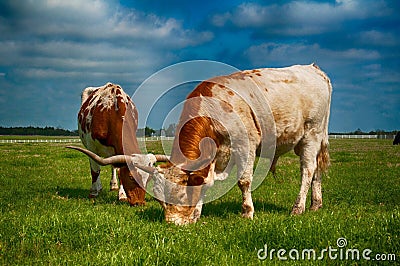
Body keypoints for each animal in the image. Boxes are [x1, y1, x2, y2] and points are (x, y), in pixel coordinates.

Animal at [71, 64, 332, 224]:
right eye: (160, 198)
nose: (174, 224)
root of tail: (314, 69)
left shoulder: (245, 145)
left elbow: (244, 181)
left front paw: (247, 212)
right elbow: (206, 181)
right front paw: (198, 211)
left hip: (311, 134)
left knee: (307, 169)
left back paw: (298, 207)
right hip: (318, 137)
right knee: (317, 169)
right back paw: (316, 204)